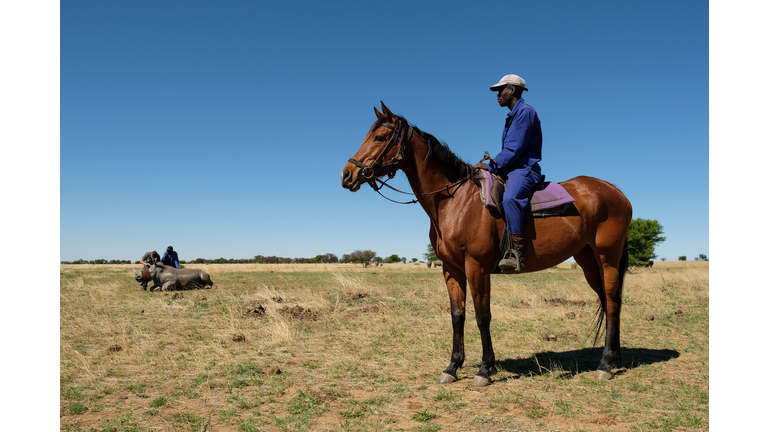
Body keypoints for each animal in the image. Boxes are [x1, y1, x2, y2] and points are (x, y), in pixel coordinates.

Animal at [342, 103, 632, 386]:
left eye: (380, 137)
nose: (347, 174)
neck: (455, 200)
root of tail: (616, 191)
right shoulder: (451, 269)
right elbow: (457, 315)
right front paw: (452, 367)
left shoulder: (476, 266)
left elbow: (483, 316)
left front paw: (484, 369)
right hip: (588, 260)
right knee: (607, 301)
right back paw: (611, 358)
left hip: (608, 258)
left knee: (612, 302)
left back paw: (605, 365)